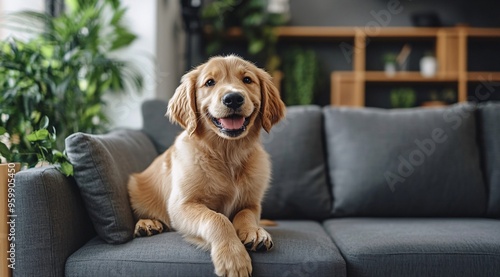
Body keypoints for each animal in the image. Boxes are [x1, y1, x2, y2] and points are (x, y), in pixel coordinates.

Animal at [128, 55, 286, 274]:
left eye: (247, 80)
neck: (227, 154)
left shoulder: (252, 203)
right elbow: (217, 218)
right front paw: (233, 258)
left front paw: (255, 232)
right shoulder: (181, 205)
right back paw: (146, 224)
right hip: (135, 187)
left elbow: (245, 214)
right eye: (210, 82)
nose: (233, 98)